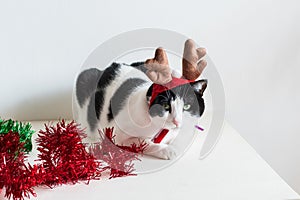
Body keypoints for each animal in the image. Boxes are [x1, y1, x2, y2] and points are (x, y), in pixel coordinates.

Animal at [74, 61, 207, 160]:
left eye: (187, 106)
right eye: (166, 106)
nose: (177, 121)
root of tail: (114, 65)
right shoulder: (117, 136)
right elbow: (142, 142)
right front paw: (166, 150)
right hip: (85, 76)